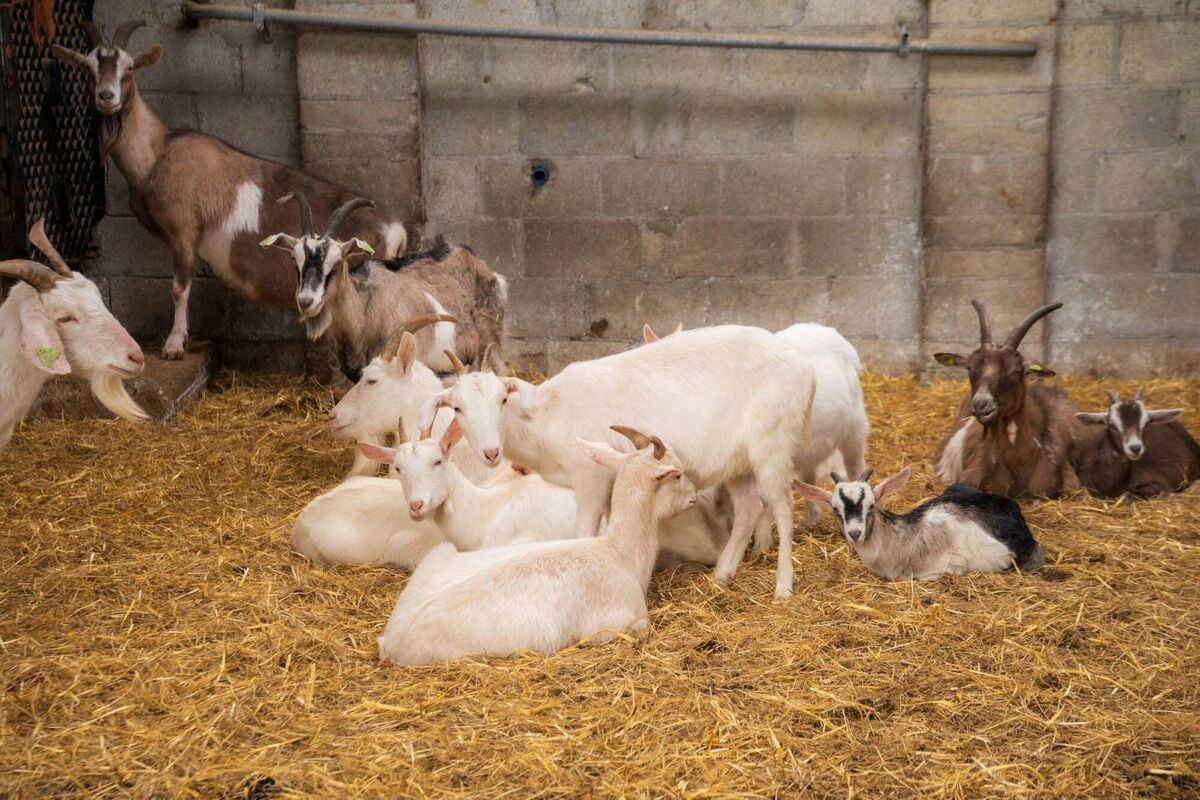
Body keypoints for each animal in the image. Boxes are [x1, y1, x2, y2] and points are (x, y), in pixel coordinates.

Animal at [53, 21, 407, 358]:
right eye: (88, 66)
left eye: (129, 67)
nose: (106, 97)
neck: (157, 152)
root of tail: (395, 231)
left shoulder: (183, 230)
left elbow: (179, 288)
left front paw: (174, 344)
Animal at [418, 325, 817, 600]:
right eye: (457, 408)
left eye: (503, 398)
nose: (491, 452)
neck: (545, 418)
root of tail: (805, 371)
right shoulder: (611, 477)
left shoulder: (589, 478)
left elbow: (582, 532)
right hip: (739, 461)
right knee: (749, 509)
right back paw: (722, 574)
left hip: (772, 445)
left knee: (782, 509)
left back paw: (783, 586)